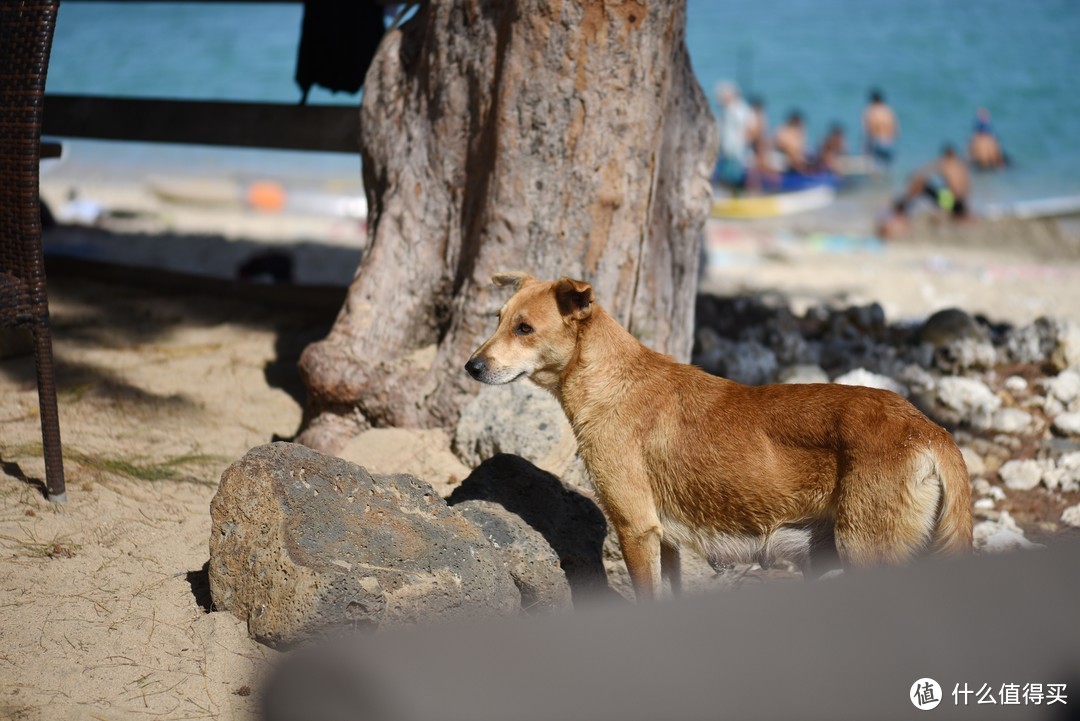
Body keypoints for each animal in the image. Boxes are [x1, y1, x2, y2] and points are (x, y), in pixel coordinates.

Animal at [468, 273, 976, 600]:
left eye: (525, 328)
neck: (615, 381)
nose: (471, 366)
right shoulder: (665, 540)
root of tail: (930, 429)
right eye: (498, 320)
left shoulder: (636, 528)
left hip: (868, 554)